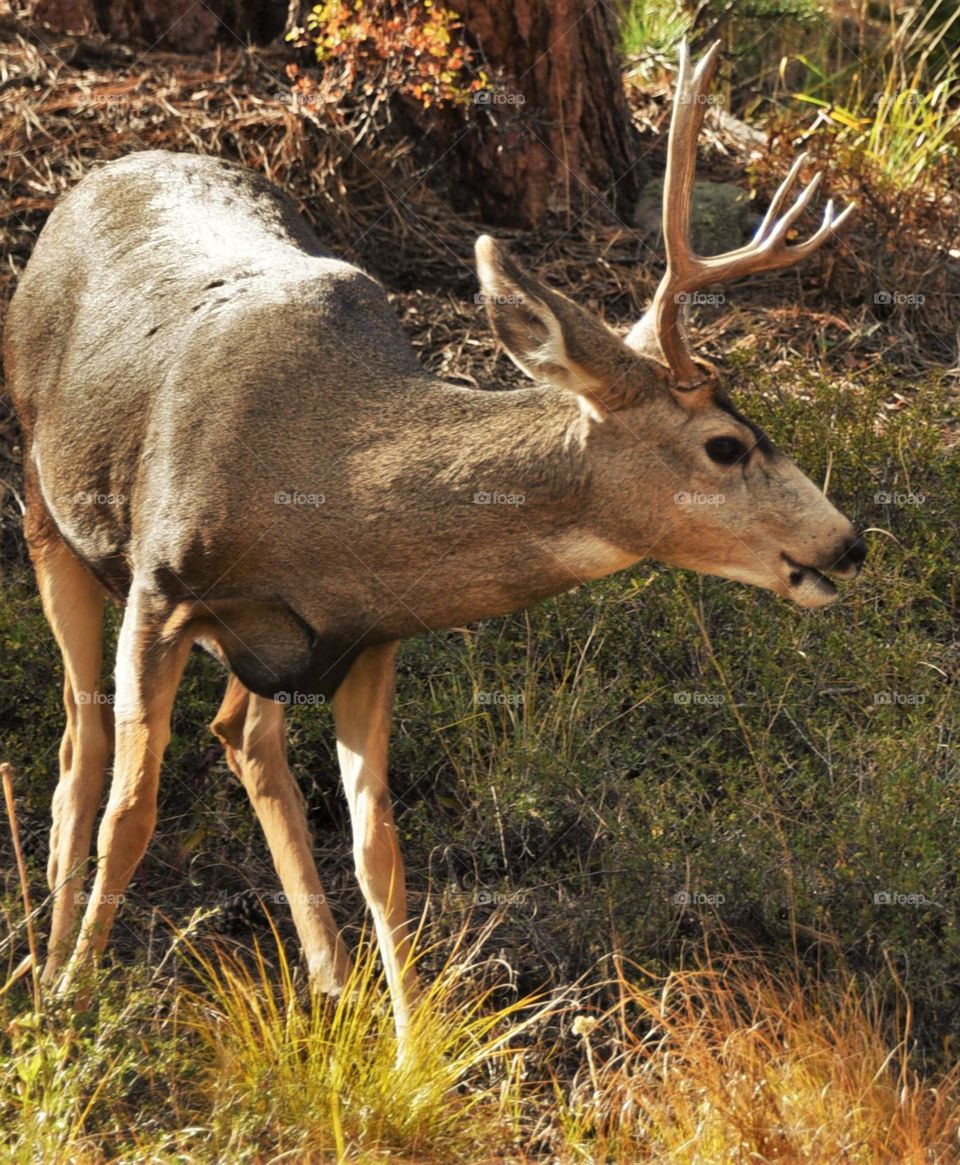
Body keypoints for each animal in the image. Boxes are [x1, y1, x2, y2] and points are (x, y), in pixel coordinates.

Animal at [4, 42, 864, 1045]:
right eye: (726, 445)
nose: (847, 543)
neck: (326, 489)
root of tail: (100, 173)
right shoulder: (163, 587)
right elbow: (131, 811)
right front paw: (74, 998)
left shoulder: (370, 633)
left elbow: (379, 844)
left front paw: (414, 1046)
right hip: (44, 502)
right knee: (83, 739)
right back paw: (49, 964)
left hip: (267, 645)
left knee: (243, 737)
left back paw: (332, 979)